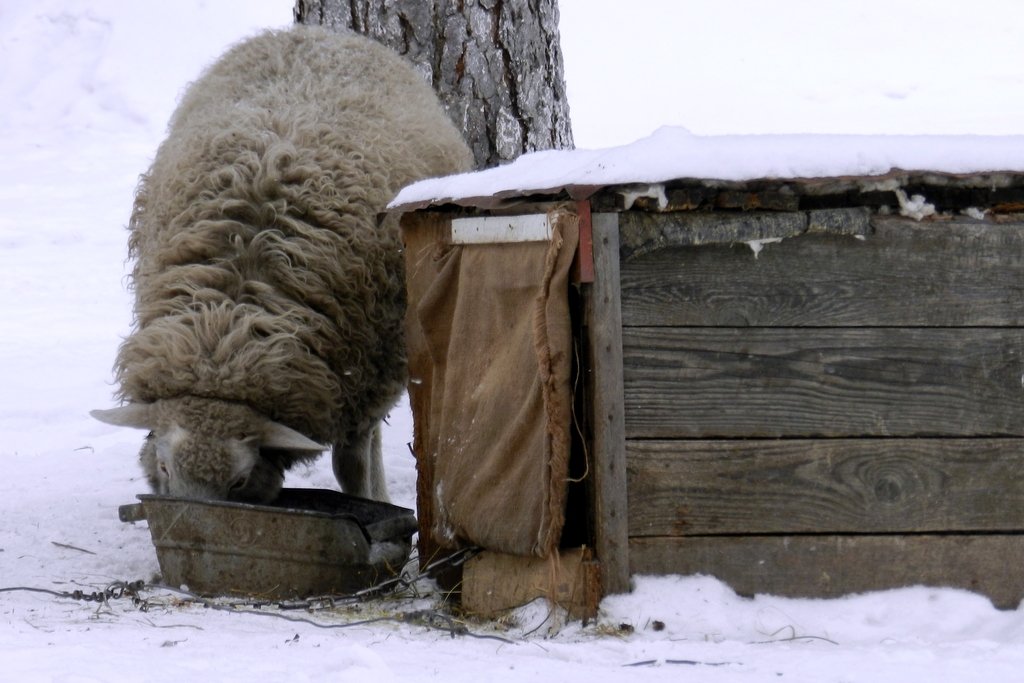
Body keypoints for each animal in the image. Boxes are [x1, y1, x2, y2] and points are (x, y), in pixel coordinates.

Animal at [91, 25, 471, 501]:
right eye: (163, 467)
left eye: (238, 482)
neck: (227, 329)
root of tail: (321, 32)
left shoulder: (364, 376)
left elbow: (351, 462)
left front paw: (367, 501)